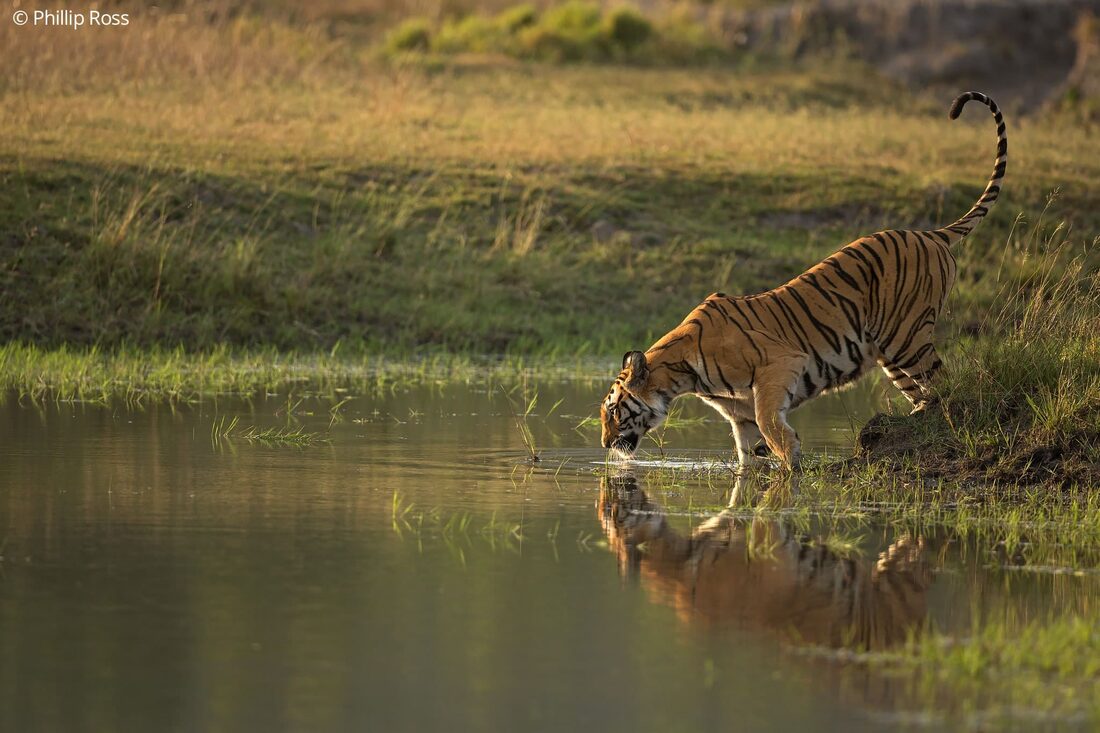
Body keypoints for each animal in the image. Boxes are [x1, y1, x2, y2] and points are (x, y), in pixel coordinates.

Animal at [600, 92, 1007, 466]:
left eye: (615, 410)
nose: (604, 444)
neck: (682, 375)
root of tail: (930, 233)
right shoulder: (739, 415)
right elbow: (746, 461)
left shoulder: (779, 365)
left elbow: (769, 421)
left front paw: (791, 455)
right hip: (891, 349)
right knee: (925, 392)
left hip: (907, 336)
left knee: (944, 384)